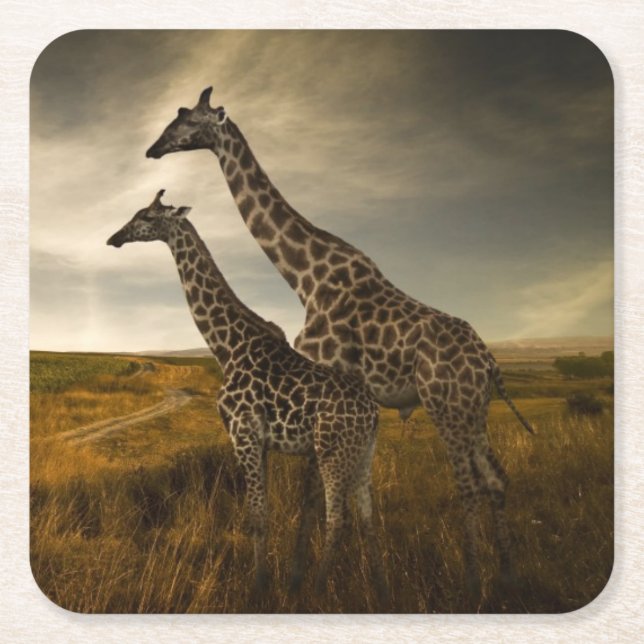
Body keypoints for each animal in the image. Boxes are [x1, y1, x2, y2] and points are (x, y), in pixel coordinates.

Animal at [106, 190, 386, 600]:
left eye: (146, 216)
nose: (115, 238)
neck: (226, 346)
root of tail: (372, 413)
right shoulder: (260, 442)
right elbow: (261, 513)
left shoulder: (244, 435)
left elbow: (256, 516)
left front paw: (259, 588)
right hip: (362, 453)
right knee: (367, 518)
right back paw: (378, 587)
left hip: (333, 451)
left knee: (339, 520)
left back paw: (317, 590)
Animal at [145, 88, 535, 596]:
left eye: (187, 120)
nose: (153, 149)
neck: (304, 275)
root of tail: (490, 363)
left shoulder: (325, 375)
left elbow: (313, 495)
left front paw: (300, 579)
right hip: (473, 411)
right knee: (496, 478)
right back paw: (508, 577)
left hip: (445, 405)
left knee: (468, 484)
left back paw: (473, 583)